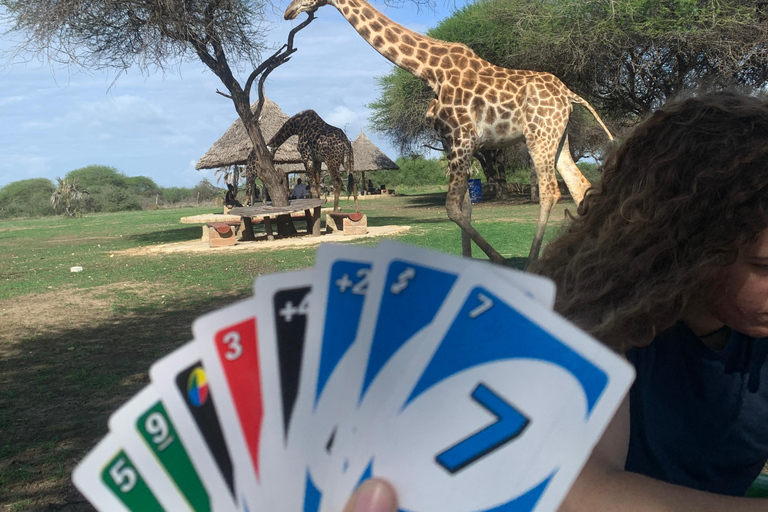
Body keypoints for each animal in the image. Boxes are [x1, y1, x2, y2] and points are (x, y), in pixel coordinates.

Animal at [284, 0, 616, 264]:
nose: (289, 11)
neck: (430, 71)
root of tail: (570, 95)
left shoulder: (462, 137)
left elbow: (452, 209)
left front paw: (500, 262)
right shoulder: (450, 142)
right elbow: (465, 208)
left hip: (538, 136)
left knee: (551, 191)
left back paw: (534, 263)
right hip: (559, 138)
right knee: (579, 185)